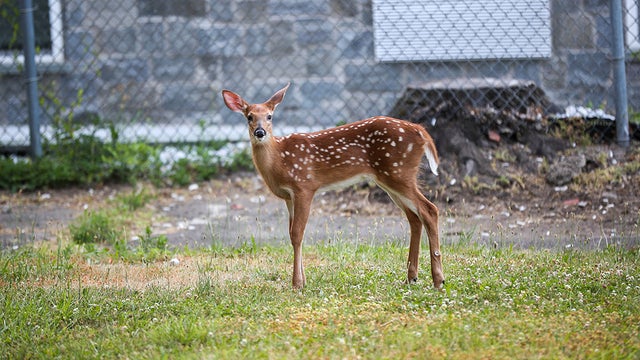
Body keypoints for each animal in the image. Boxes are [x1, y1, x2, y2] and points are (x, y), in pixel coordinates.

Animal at [221, 82, 444, 290]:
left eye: (269, 116)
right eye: (249, 117)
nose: (260, 132)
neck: (279, 160)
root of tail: (420, 131)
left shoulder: (304, 186)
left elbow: (297, 234)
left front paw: (297, 283)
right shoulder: (288, 197)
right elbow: (292, 232)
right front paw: (303, 280)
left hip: (399, 172)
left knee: (430, 209)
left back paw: (438, 280)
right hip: (390, 179)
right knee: (414, 218)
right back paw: (411, 277)